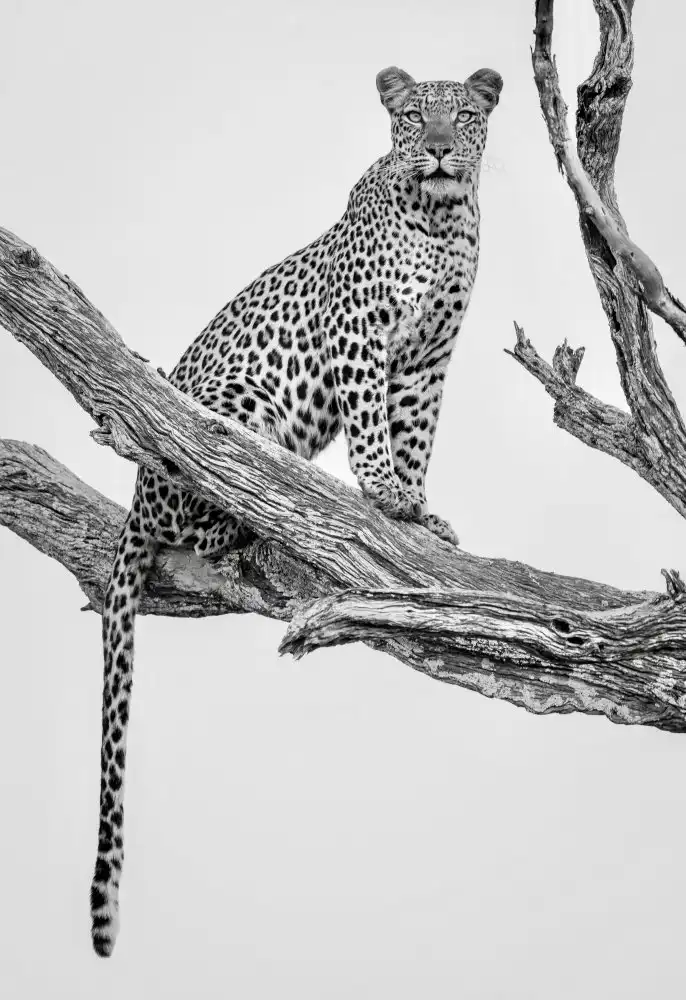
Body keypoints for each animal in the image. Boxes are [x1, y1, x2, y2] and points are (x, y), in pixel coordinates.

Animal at [90, 64, 503, 956]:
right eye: (413, 118)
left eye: (464, 115)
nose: (438, 150)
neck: (444, 220)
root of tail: (133, 506)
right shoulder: (361, 334)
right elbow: (373, 425)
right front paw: (382, 494)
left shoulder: (428, 359)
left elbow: (416, 433)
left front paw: (418, 512)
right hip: (231, 409)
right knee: (208, 491)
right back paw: (249, 511)